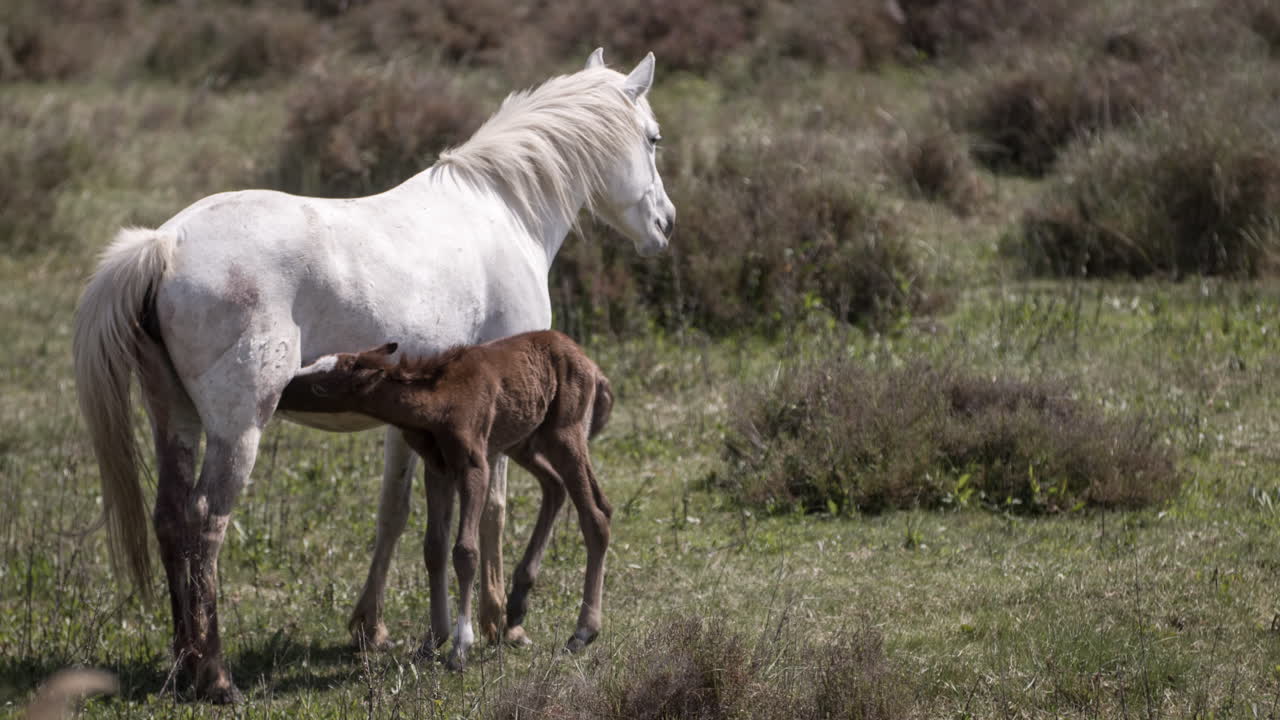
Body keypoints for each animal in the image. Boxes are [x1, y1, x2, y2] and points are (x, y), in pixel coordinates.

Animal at [279, 330, 614, 670]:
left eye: (321, 387)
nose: (282, 390)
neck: (438, 403)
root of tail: (593, 367)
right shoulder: (437, 469)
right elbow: (433, 547)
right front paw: (432, 640)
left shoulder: (474, 465)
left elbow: (465, 551)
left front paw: (460, 645)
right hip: (524, 440)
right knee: (556, 487)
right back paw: (518, 601)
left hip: (564, 434)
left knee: (595, 514)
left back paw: (583, 631)